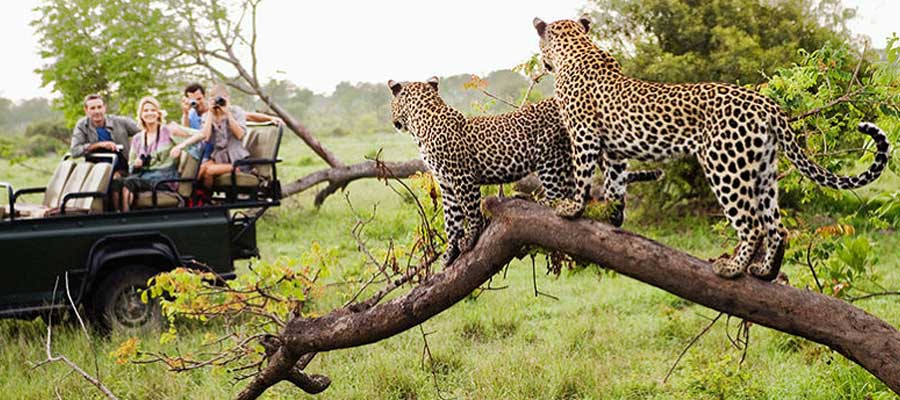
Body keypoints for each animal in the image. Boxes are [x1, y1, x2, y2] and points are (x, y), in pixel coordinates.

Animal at [386, 77, 660, 266]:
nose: (393, 122)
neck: (422, 123)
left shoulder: (462, 178)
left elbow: (470, 212)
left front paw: (470, 238)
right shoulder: (446, 184)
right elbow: (451, 220)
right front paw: (449, 253)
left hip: (550, 157)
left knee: (558, 198)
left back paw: (530, 199)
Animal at [532, 17, 888, 282]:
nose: (543, 63)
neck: (577, 49)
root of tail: (766, 104)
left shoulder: (583, 134)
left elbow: (583, 174)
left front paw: (572, 208)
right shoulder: (616, 150)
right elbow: (616, 183)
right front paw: (612, 216)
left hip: (725, 165)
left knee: (753, 224)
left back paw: (732, 269)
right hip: (762, 170)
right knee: (777, 227)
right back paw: (763, 271)